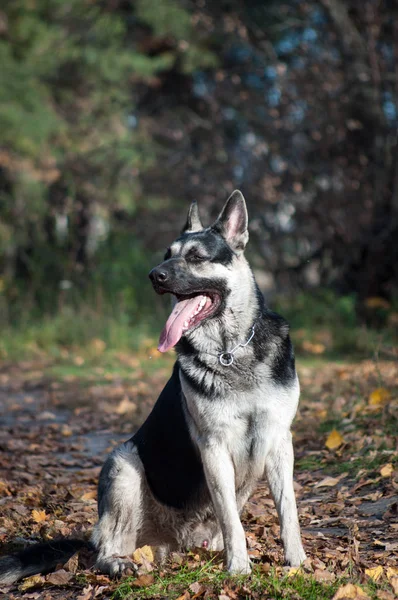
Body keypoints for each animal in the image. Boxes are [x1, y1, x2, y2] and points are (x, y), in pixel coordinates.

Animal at [0, 190, 304, 584]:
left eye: (196, 257)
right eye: (166, 255)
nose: (154, 276)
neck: (230, 351)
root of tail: (173, 545)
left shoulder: (279, 440)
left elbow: (288, 510)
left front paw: (297, 562)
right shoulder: (214, 447)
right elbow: (231, 520)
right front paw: (239, 567)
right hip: (124, 463)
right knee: (104, 548)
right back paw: (118, 562)